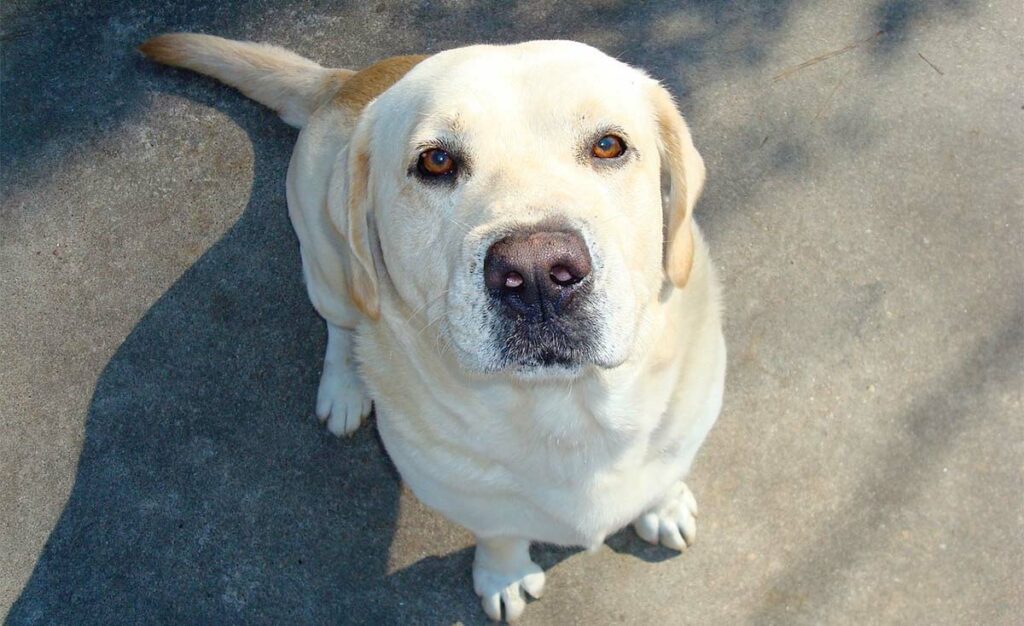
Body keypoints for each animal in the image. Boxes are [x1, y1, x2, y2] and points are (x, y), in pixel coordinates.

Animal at [140, 34, 729, 622]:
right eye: (436, 161)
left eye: (608, 146)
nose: (537, 273)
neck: (566, 411)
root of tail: (346, 80)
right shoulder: (470, 500)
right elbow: (501, 535)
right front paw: (504, 576)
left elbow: (664, 472)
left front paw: (663, 504)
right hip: (327, 263)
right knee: (341, 325)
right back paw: (345, 386)